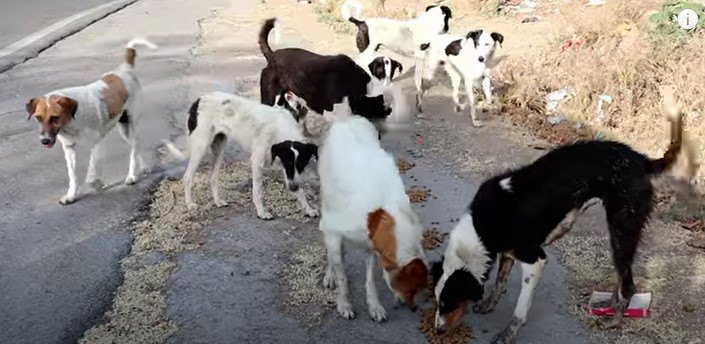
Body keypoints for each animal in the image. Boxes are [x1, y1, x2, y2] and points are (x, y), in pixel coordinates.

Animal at [26, 38, 157, 204]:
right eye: (38, 117)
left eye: (55, 117)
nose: (44, 141)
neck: (72, 121)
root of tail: (125, 69)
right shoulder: (69, 149)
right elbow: (73, 175)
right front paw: (71, 195)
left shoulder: (96, 143)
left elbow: (92, 168)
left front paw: (94, 183)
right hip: (124, 130)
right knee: (137, 146)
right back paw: (144, 167)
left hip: (131, 125)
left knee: (134, 149)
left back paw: (132, 176)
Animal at [316, 104, 426, 322]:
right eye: (410, 288)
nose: (413, 308)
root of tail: (346, 120)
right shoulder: (334, 231)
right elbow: (341, 274)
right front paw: (344, 303)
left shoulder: (372, 246)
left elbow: (370, 280)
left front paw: (374, 306)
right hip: (326, 203)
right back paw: (330, 274)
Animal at [428, 91, 692, 344]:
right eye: (437, 302)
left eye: (449, 303)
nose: (438, 331)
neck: (481, 227)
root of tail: (641, 160)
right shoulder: (508, 252)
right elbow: (499, 284)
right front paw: (489, 305)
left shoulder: (535, 260)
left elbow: (520, 309)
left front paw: (508, 334)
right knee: (622, 277)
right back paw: (608, 304)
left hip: (622, 229)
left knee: (629, 285)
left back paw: (615, 319)